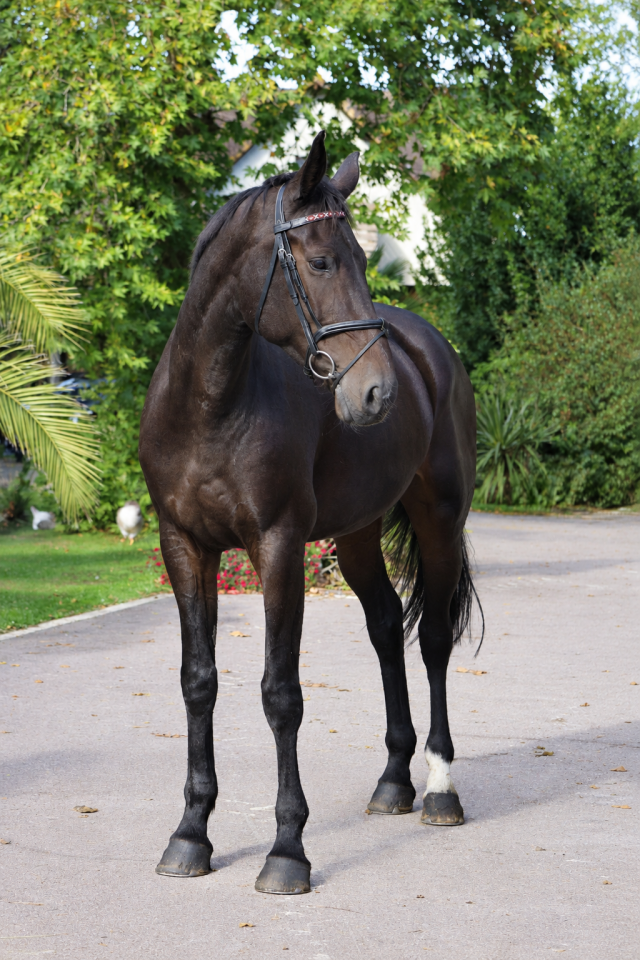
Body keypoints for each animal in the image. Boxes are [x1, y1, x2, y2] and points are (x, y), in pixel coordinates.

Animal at [139, 130, 480, 896]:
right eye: (321, 260)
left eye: (363, 259)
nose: (377, 392)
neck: (211, 406)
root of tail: (427, 348)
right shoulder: (184, 546)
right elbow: (197, 683)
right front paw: (189, 835)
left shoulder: (278, 545)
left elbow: (281, 693)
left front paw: (287, 850)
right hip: (356, 536)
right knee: (386, 627)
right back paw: (393, 781)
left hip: (440, 520)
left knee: (432, 640)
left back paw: (439, 789)